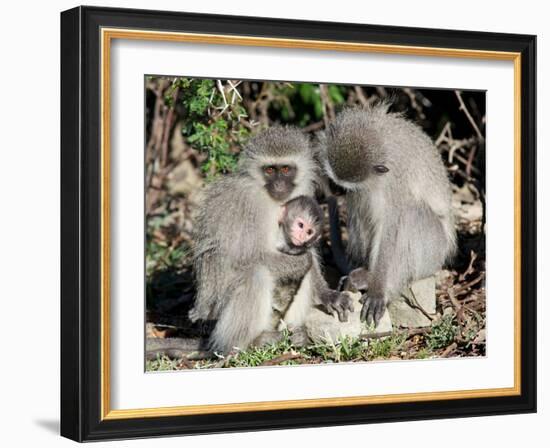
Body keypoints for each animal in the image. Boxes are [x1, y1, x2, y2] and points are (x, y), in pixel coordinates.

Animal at [190, 125, 354, 354]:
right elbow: (241, 258)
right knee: (256, 274)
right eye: (269, 171)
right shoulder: (249, 205)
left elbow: (307, 252)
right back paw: (246, 343)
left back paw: (297, 335)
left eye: (285, 169)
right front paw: (301, 262)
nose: (278, 184)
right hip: (217, 313)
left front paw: (327, 295)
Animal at [320, 106, 458, 328]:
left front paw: (378, 291)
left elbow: (390, 228)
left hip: (433, 253)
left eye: (343, 186)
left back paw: (374, 279)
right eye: (334, 182)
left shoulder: (395, 182)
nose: (335, 191)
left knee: (410, 213)